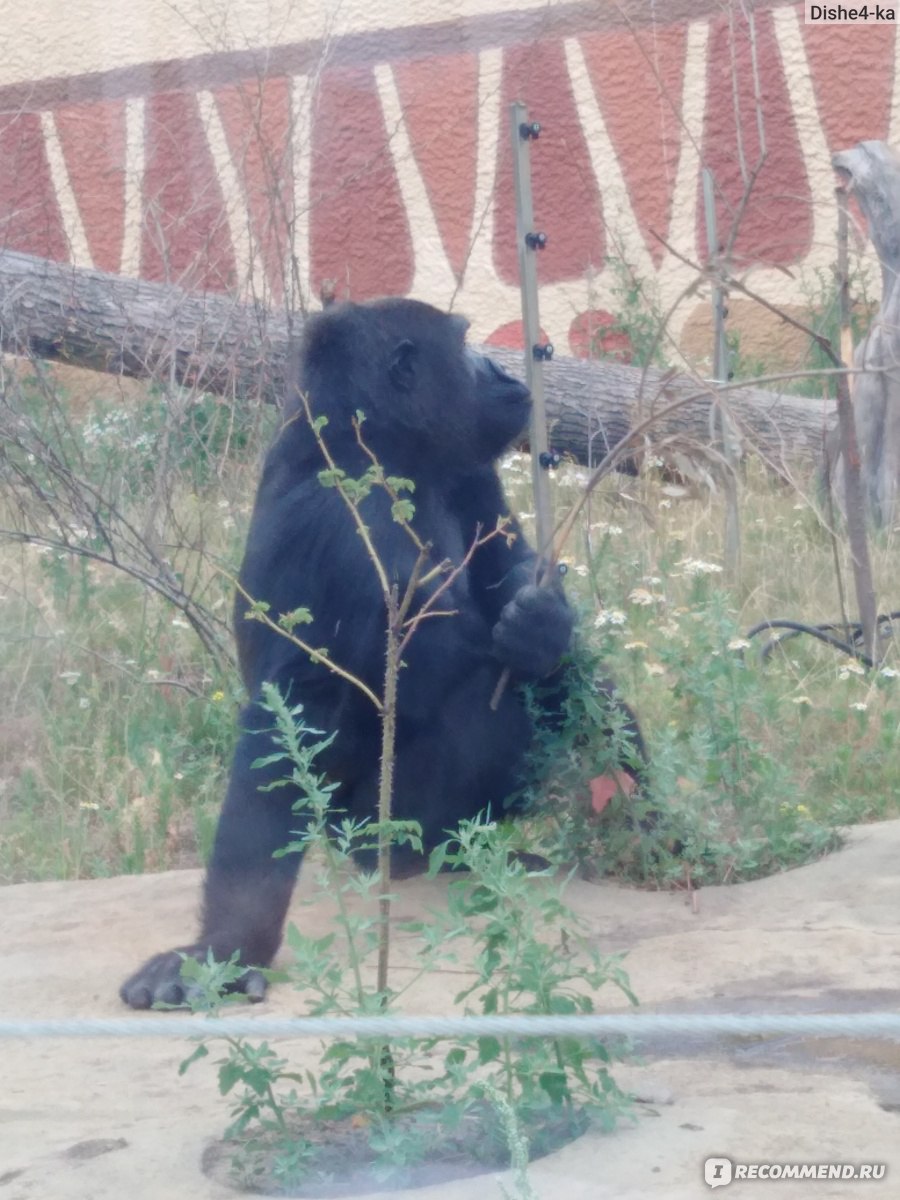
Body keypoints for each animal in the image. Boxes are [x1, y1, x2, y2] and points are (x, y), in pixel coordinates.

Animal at [120, 295, 643, 1008]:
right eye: (465, 344)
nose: (501, 368)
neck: (373, 447)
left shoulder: (468, 467)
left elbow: (514, 575)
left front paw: (542, 623)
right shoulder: (330, 522)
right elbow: (294, 712)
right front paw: (224, 947)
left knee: (559, 681)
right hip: (366, 832)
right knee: (494, 701)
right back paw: (428, 857)